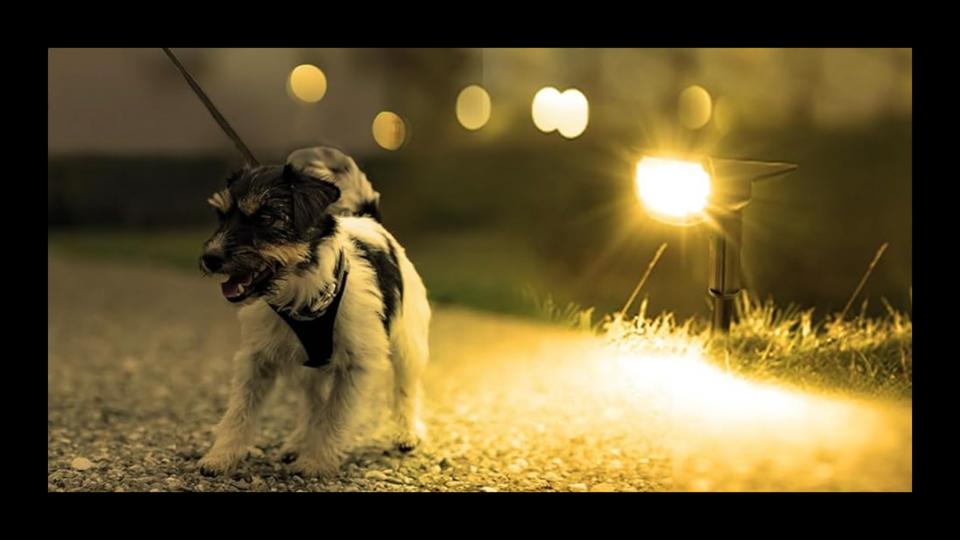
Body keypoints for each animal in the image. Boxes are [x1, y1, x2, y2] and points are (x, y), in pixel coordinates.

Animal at [197, 147, 430, 476]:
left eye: (266, 217)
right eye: (221, 215)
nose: (210, 258)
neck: (301, 291)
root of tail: (368, 219)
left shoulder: (356, 366)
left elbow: (335, 415)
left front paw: (317, 461)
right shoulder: (256, 358)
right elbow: (240, 410)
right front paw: (222, 455)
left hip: (408, 345)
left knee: (405, 389)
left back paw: (407, 433)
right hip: (308, 366)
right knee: (312, 404)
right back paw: (297, 442)